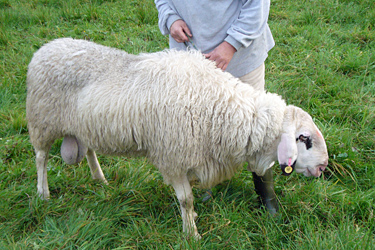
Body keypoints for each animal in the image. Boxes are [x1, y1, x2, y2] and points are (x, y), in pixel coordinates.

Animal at [27, 37, 328, 238]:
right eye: (304, 139)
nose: (323, 167)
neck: (220, 107)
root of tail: (46, 47)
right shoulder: (172, 157)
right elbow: (186, 200)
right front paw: (191, 234)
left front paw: (191, 222)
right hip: (42, 122)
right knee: (41, 158)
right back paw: (43, 194)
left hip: (82, 126)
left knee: (88, 149)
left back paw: (99, 178)